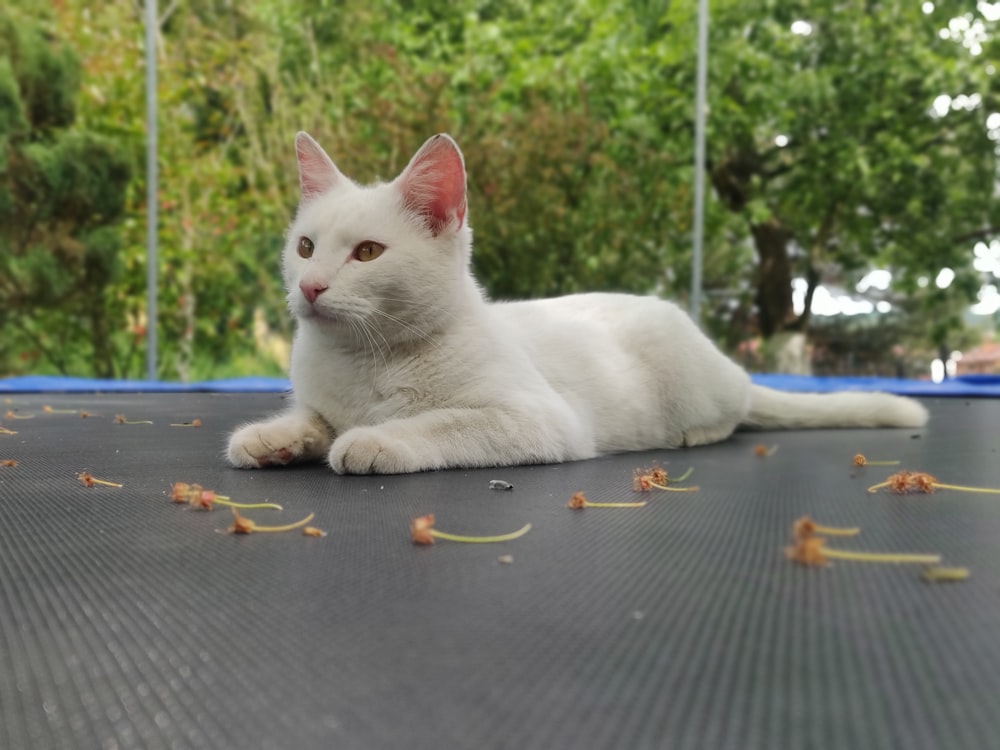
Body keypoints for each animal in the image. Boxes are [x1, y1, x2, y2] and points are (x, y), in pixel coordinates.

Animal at [225, 134, 920, 476]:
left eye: (367, 252)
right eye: (306, 247)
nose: (310, 287)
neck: (366, 360)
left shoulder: (537, 420)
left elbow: (438, 424)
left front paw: (373, 440)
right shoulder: (323, 399)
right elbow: (314, 419)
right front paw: (276, 438)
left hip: (696, 384)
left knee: (736, 410)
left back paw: (696, 431)